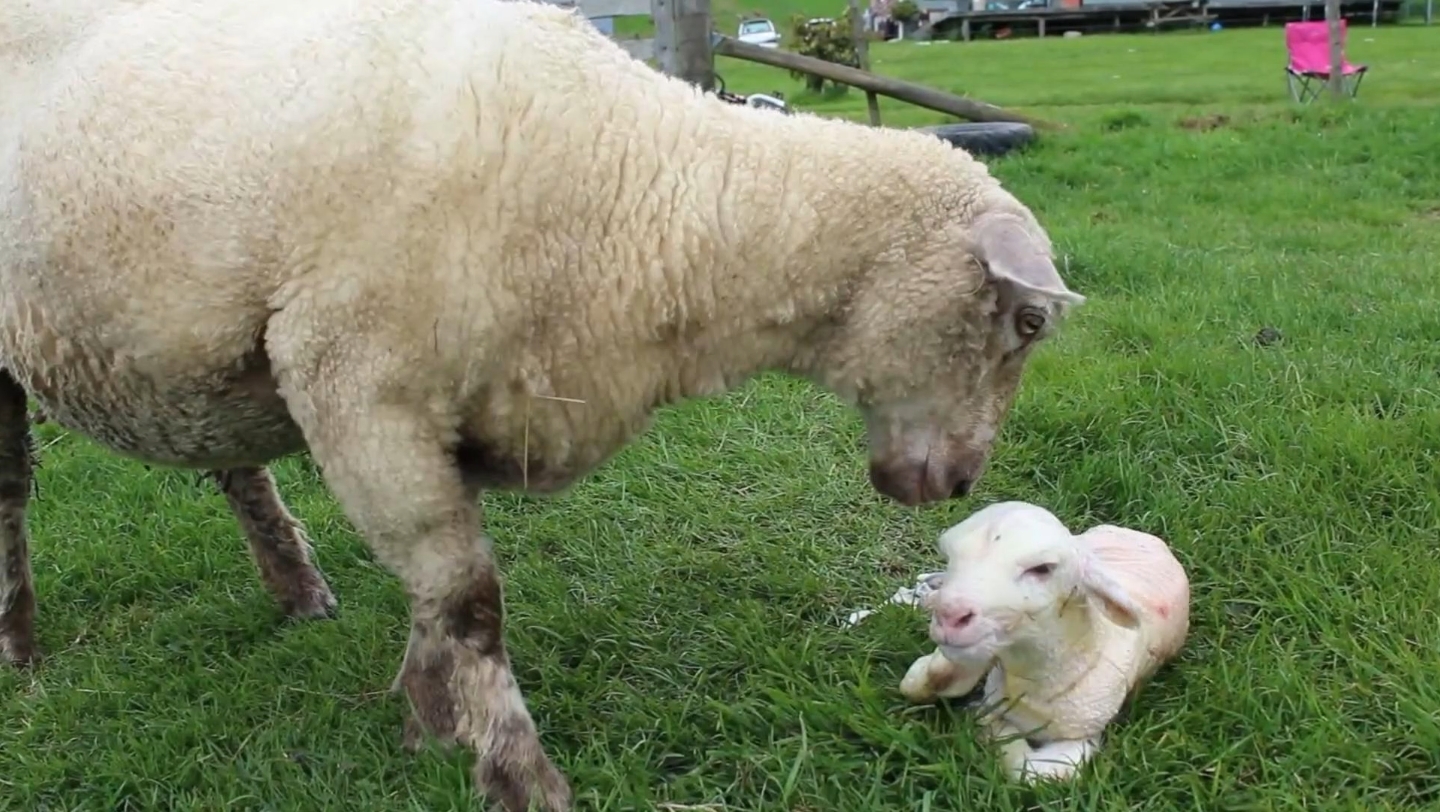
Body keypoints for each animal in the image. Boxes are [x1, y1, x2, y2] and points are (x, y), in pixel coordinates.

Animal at [0, 0, 1082, 806]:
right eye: (1026, 322)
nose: (961, 481)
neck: (642, 189)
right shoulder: (359, 385)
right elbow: (469, 602)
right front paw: (516, 774)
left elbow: (437, 599)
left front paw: (427, 721)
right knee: (12, 498)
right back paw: (19, 644)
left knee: (231, 462)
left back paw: (295, 587)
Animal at [898, 501, 1192, 777]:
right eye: (949, 555)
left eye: (1042, 569)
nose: (950, 615)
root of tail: (1147, 538)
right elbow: (919, 683)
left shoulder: (1083, 735)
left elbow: (1039, 773)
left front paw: (985, 724)